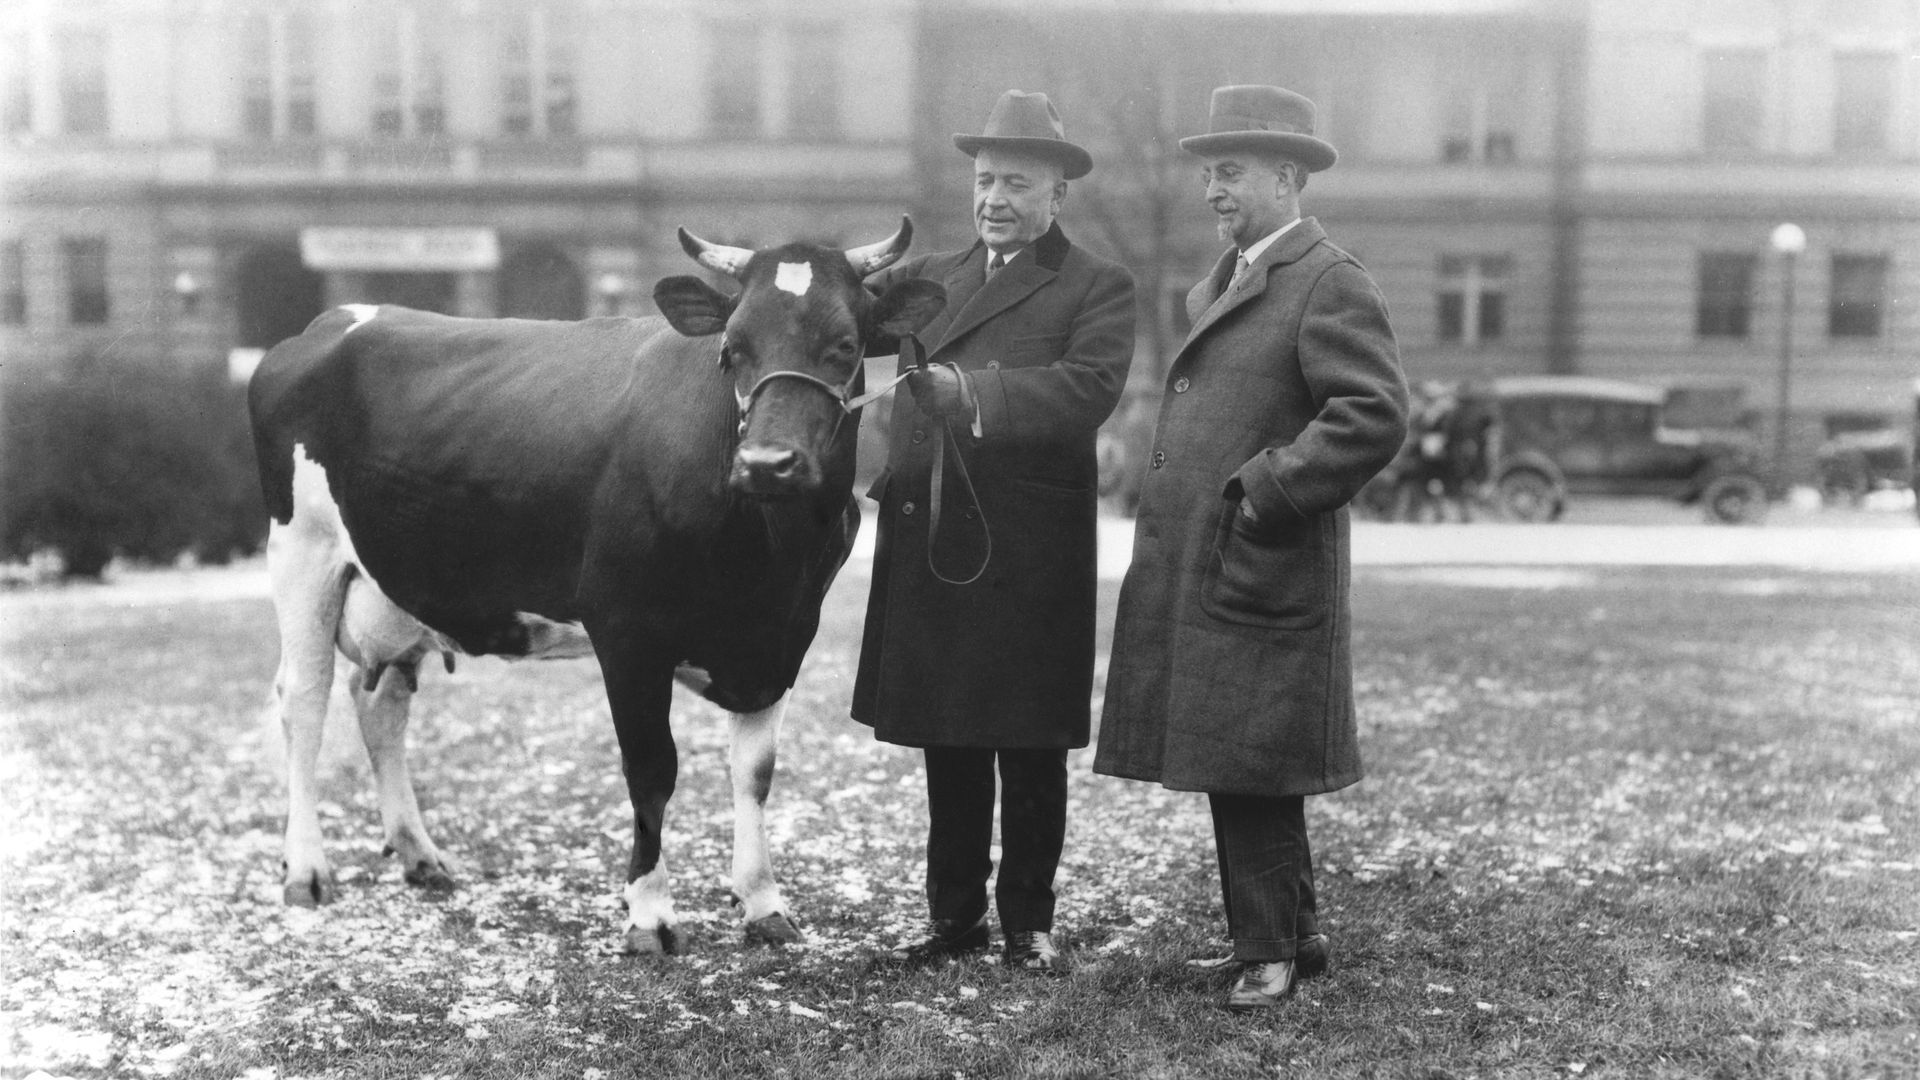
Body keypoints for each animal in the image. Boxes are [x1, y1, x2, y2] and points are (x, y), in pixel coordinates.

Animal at [248, 219, 946, 955]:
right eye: (731, 349)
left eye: (844, 345)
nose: (766, 464)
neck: (770, 558)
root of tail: (331, 320)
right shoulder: (627, 631)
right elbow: (651, 769)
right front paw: (649, 914)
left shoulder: (783, 636)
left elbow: (755, 772)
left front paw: (762, 904)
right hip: (301, 551)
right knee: (305, 702)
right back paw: (307, 871)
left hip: (396, 585)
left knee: (379, 704)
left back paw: (420, 854)